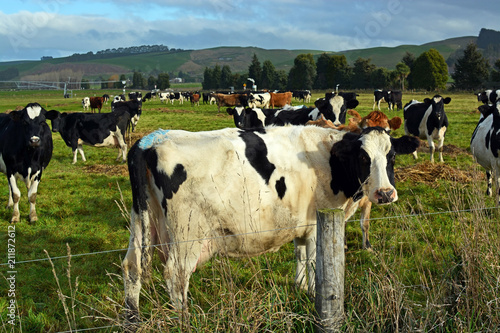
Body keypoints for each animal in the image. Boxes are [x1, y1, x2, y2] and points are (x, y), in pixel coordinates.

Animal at [123, 125, 420, 322]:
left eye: (392, 156)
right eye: (363, 157)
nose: (385, 193)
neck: (328, 158)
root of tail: (152, 139)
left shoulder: (302, 223)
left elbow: (300, 256)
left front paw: (301, 289)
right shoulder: (317, 225)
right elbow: (315, 263)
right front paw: (315, 294)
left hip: (142, 221)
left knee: (132, 266)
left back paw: (132, 317)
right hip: (187, 235)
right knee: (176, 275)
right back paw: (186, 320)